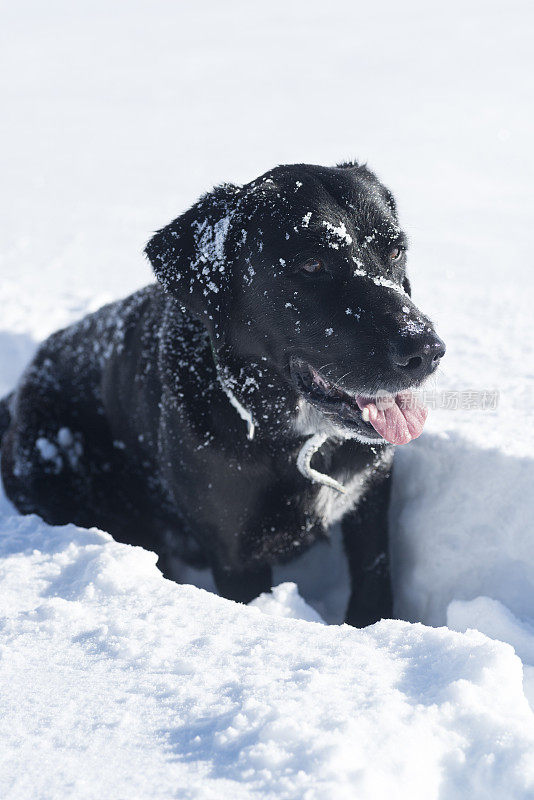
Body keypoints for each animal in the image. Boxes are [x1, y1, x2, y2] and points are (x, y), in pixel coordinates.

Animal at [0, 161, 444, 624]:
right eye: (311, 263)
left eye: (394, 252)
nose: (427, 350)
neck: (295, 437)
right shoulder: (236, 556)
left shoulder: (371, 502)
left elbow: (374, 580)